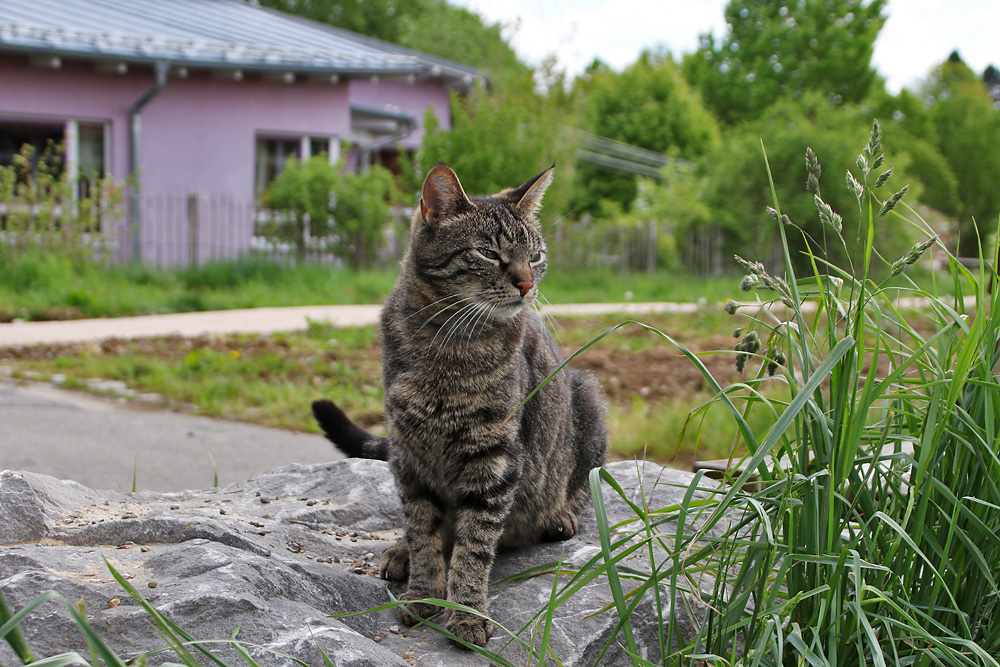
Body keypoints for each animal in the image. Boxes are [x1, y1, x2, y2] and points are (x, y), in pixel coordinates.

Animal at [316, 164, 604, 648]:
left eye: (536, 255)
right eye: (488, 253)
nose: (527, 284)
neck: (448, 344)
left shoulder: (494, 460)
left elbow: (474, 545)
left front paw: (466, 612)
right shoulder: (409, 454)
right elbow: (423, 530)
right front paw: (423, 591)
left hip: (587, 394)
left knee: (579, 487)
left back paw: (559, 516)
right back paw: (400, 553)